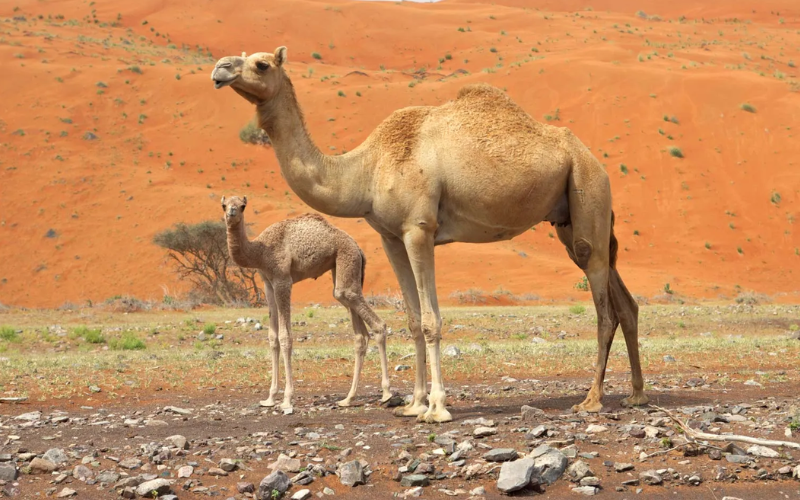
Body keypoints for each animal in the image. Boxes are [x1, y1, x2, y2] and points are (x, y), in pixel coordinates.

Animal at [220, 195, 392, 410]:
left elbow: (285, 337)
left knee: (378, 324)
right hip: (342, 271)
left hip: (347, 260)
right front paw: (269, 398)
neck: (259, 251)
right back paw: (348, 398)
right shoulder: (267, 283)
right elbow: (272, 338)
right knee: (359, 333)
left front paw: (287, 400)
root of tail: (359, 249)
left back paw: (386, 394)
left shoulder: (282, 280)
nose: (231, 212)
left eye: (243, 206)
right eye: (224, 205)